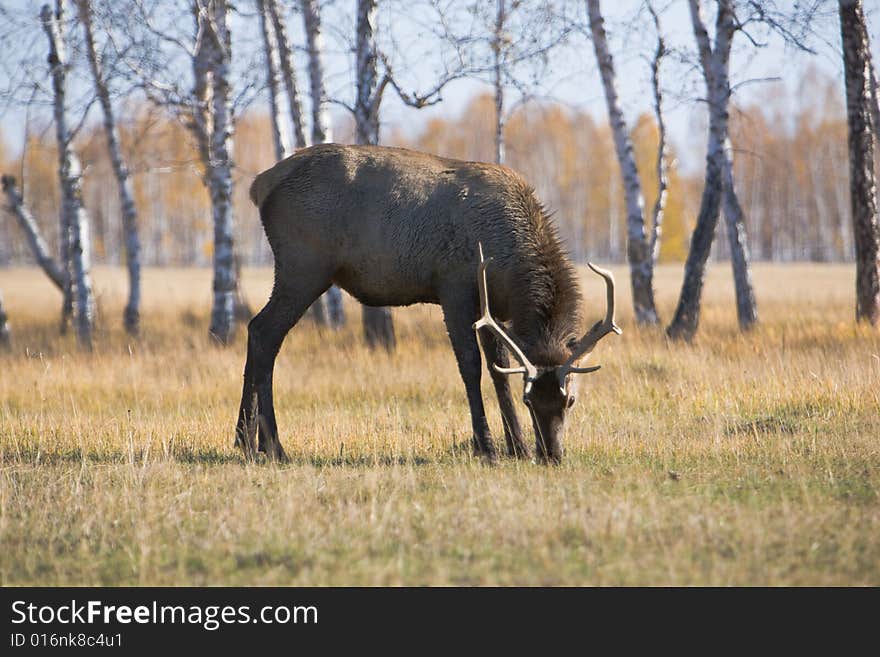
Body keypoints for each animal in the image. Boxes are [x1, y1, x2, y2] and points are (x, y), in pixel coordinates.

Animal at [234, 145, 620, 462]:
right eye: (530, 399)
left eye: (569, 400)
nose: (551, 453)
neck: (507, 267)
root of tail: (259, 186)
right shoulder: (454, 287)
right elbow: (470, 366)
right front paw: (487, 447)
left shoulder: (491, 307)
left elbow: (498, 368)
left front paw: (517, 447)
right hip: (304, 265)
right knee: (265, 332)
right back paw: (272, 445)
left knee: (257, 330)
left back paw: (244, 439)